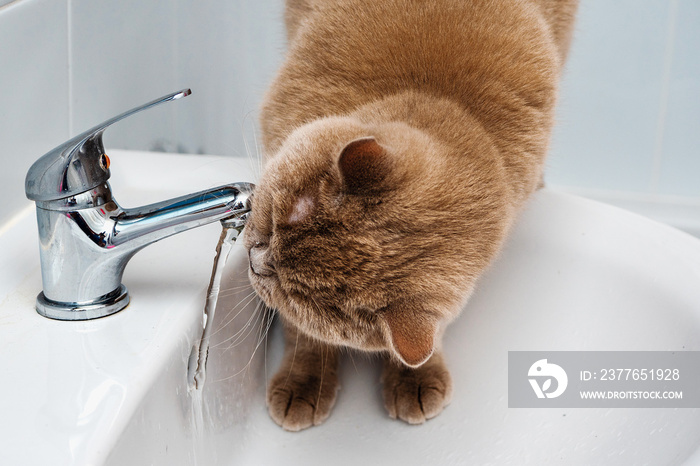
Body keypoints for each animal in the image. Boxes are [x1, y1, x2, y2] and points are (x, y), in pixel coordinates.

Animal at [246, 0, 580, 430]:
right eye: (276, 221)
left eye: (294, 293)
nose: (255, 260)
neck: (442, 99)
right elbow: (305, 339)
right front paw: (304, 383)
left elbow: (429, 339)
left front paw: (415, 378)